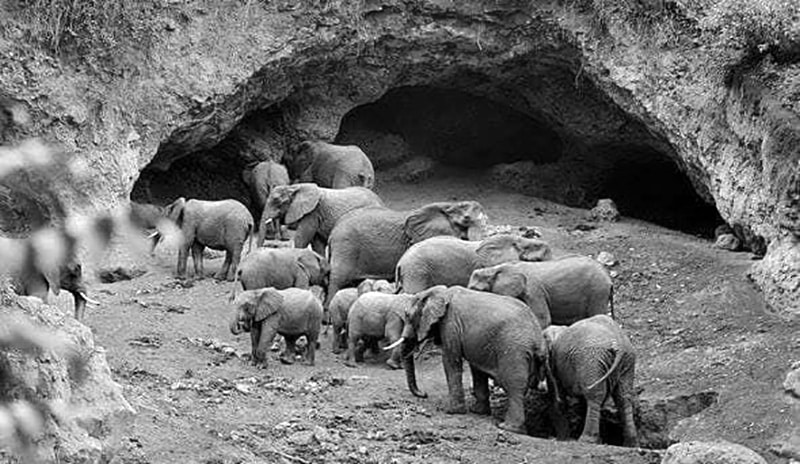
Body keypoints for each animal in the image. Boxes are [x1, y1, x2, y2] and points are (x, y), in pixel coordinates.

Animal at [394, 284, 552, 434]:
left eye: (407, 315)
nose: (424, 394)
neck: (440, 292)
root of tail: (539, 341)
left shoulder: (450, 324)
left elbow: (451, 361)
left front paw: (452, 411)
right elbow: (477, 369)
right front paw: (478, 412)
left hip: (515, 352)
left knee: (515, 388)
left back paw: (508, 428)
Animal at [468, 254, 612, 326]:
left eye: (476, 290)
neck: (494, 268)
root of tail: (608, 276)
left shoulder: (533, 290)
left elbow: (542, 318)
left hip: (598, 290)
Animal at [544, 314, 636, 448]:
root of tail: (618, 345)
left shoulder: (554, 365)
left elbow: (557, 397)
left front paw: (562, 439)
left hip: (592, 359)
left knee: (594, 395)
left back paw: (586, 440)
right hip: (626, 361)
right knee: (623, 397)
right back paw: (631, 444)